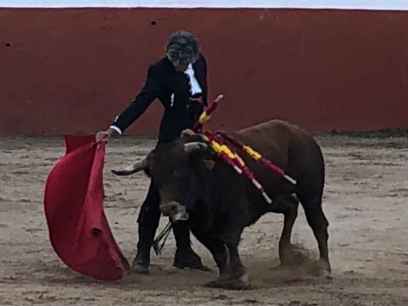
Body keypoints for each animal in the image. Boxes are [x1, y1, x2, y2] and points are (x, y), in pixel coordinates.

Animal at [113, 120, 330, 290]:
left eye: (180, 172)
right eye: (155, 178)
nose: (168, 208)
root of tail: (302, 134)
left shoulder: (235, 216)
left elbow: (230, 242)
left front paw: (240, 277)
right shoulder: (199, 227)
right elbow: (217, 250)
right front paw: (224, 277)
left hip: (310, 193)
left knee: (317, 223)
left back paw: (324, 267)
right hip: (272, 198)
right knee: (291, 207)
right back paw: (286, 254)